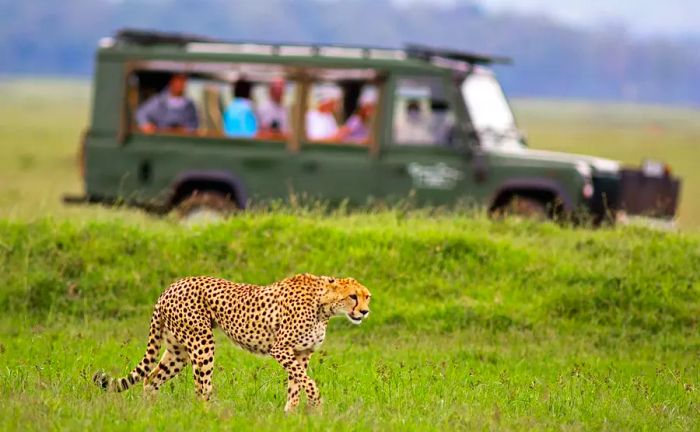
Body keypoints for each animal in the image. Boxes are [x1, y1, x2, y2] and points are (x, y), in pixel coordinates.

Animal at [93, 274, 372, 412]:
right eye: (353, 296)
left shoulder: (301, 354)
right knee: (201, 387)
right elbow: (309, 383)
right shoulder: (281, 349)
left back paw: (149, 414)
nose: (365, 312)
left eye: (367, 296)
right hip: (202, 342)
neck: (324, 305)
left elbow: (297, 385)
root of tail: (170, 287)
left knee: (151, 379)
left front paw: (291, 416)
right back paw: (211, 415)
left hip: (178, 351)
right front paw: (317, 405)